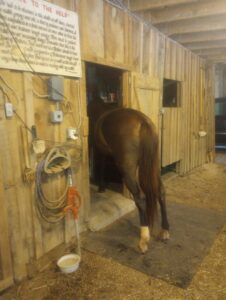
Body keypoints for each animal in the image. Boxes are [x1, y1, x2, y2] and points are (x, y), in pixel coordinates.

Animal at [87, 99, 169, 253]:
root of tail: (143, 122)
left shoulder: (98, 151)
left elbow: (100, 167)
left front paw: (101, 187)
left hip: (129, 171)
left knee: (140, 198)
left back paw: (143, 240)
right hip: (153, 166)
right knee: (161, 191)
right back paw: (165, 231)